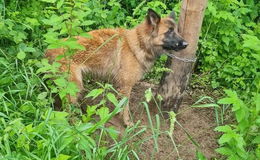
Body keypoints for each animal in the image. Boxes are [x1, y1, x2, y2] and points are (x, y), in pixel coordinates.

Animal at [45, 8, 188, 126]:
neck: (139, 43)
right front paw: (127, 123)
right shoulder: (126, 86)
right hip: (74, 87)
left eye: (176, 31)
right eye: (169, 32)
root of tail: (50, 50)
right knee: (67, 109)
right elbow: (125, 107)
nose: (186, 44)